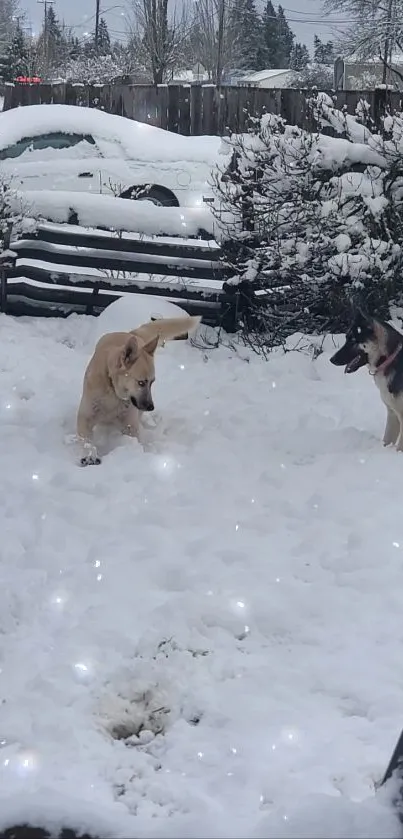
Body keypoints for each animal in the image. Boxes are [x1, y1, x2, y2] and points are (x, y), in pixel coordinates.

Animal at [76, 314, 200, 462]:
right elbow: (86, 440)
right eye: (141, 383)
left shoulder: (130, 424)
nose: (151, 407)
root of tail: (132, 334)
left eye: (152, 382)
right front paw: (89, 455)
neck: (113, 391)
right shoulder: (85, 417)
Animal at [330, 310, 403, 452]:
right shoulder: (392, 415)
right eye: (346, 338)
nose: (332, 359)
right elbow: (386, 440)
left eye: (353, 340)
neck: (388, 359)